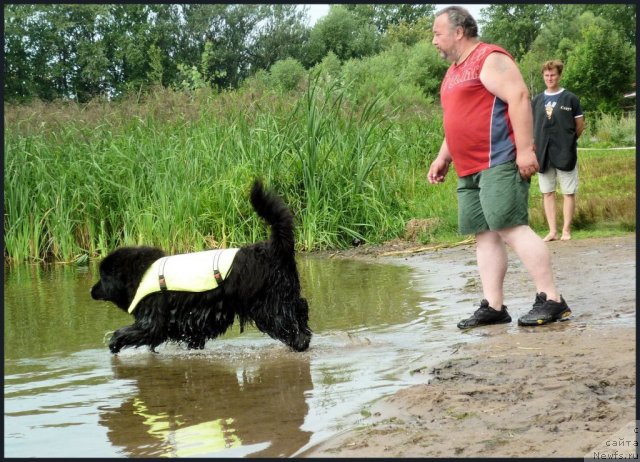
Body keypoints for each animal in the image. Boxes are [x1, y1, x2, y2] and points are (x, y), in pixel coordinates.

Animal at [90, 180, 310, 354]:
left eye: (103, 276)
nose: (91, 291)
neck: (142, 274)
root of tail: (275, 248)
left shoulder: (153, 320)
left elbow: (131, 331)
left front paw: (114, 344)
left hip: (268, 305)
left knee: (286, 324)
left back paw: (298, 344)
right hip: (286, 294)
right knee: (300, 309)